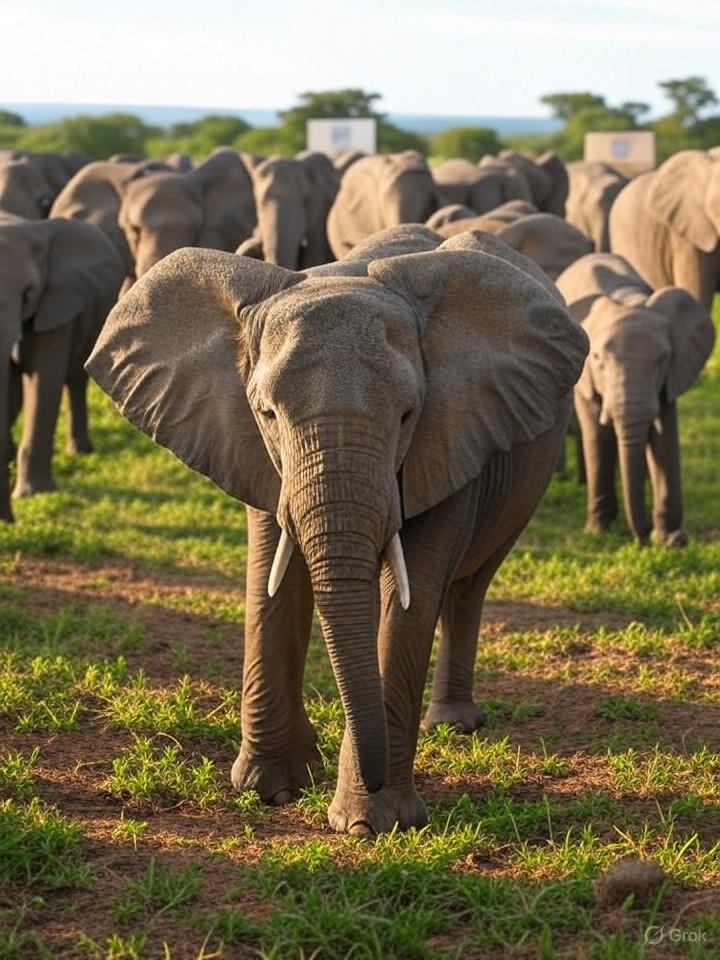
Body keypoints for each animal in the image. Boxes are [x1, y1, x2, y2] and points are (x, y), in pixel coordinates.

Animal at [0, 214, 125, 521]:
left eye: (28, 293)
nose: (9, 518)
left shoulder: (57, 304)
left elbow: (45, 380)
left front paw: (32, 494)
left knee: (76, 379)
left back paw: (80, 450)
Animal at [86, 224, 588, 834]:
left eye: (407, 415)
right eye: (268, 414)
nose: (370, 775)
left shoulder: (451, 432)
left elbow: (410, 594)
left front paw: (372, 823)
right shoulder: (251, 447)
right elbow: (272, 575)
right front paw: (272, 790)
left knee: (469, 586)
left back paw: (453, 725)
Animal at [555, 253, 715, 545]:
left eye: (662, 359)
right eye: (598, 361)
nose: (642, 537)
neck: (628, 301)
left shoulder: (670, 376)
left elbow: (665, 438)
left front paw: (671, 540)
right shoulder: (586, 378)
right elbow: (598, 434)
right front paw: (599, 531)